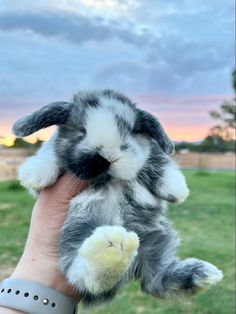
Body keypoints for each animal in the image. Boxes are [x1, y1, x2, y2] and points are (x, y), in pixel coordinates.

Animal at [12, 89, 223, 306]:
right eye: (81, 131)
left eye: (130, 131)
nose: (108, 157)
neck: (109, 179)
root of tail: (134, 263)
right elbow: (50, 153)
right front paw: (35, 174)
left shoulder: (150, 151)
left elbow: (157, 159)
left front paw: (178, 189)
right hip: (75, 235)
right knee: (85, 278)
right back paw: (113, 250)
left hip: (158, 241)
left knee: (157, 279)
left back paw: (202, 275)